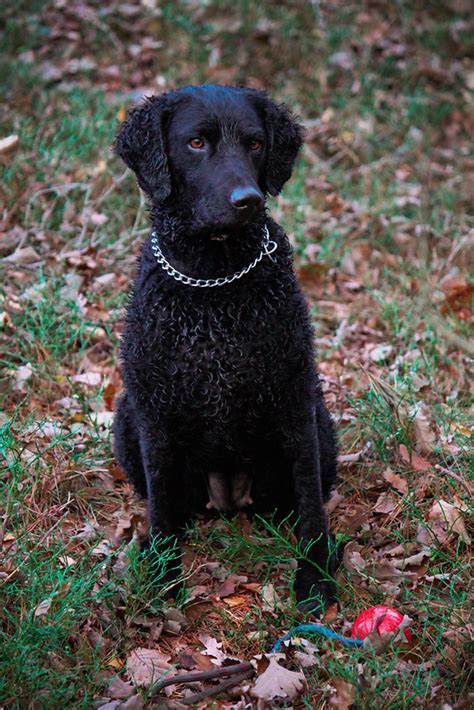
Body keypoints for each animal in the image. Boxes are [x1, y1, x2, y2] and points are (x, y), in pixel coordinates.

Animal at [113, 86, 338, 616]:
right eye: (196, 143)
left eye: (256, 143)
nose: (248, 200)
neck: (214, 284)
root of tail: (230, 496)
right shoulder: (154, 411)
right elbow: (160, 504)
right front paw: (164, 571)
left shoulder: (294, 398)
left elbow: (311, 501)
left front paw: (314, 574)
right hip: (126, 419)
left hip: (319, 423)